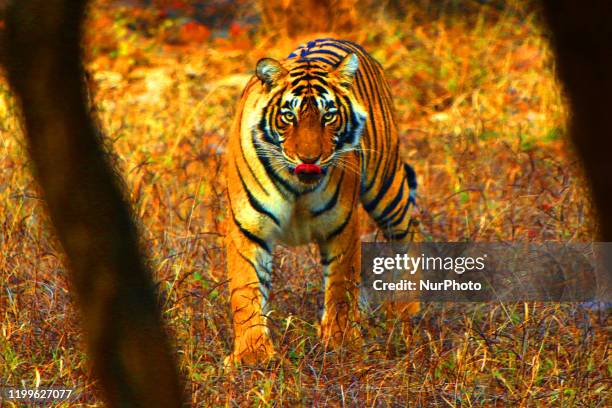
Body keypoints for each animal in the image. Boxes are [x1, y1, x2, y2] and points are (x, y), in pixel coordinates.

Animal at [225, 37, 420, 364]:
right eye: (288, 116)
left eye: (328, 115)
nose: (309, 158)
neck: (297, 185)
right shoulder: (248, 228)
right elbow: (245, 289)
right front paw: (253, 354)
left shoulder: (341, 225)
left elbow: (341, 286)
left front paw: (340, 342)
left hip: (386, 186)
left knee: (408, 232)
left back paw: (406, 311)